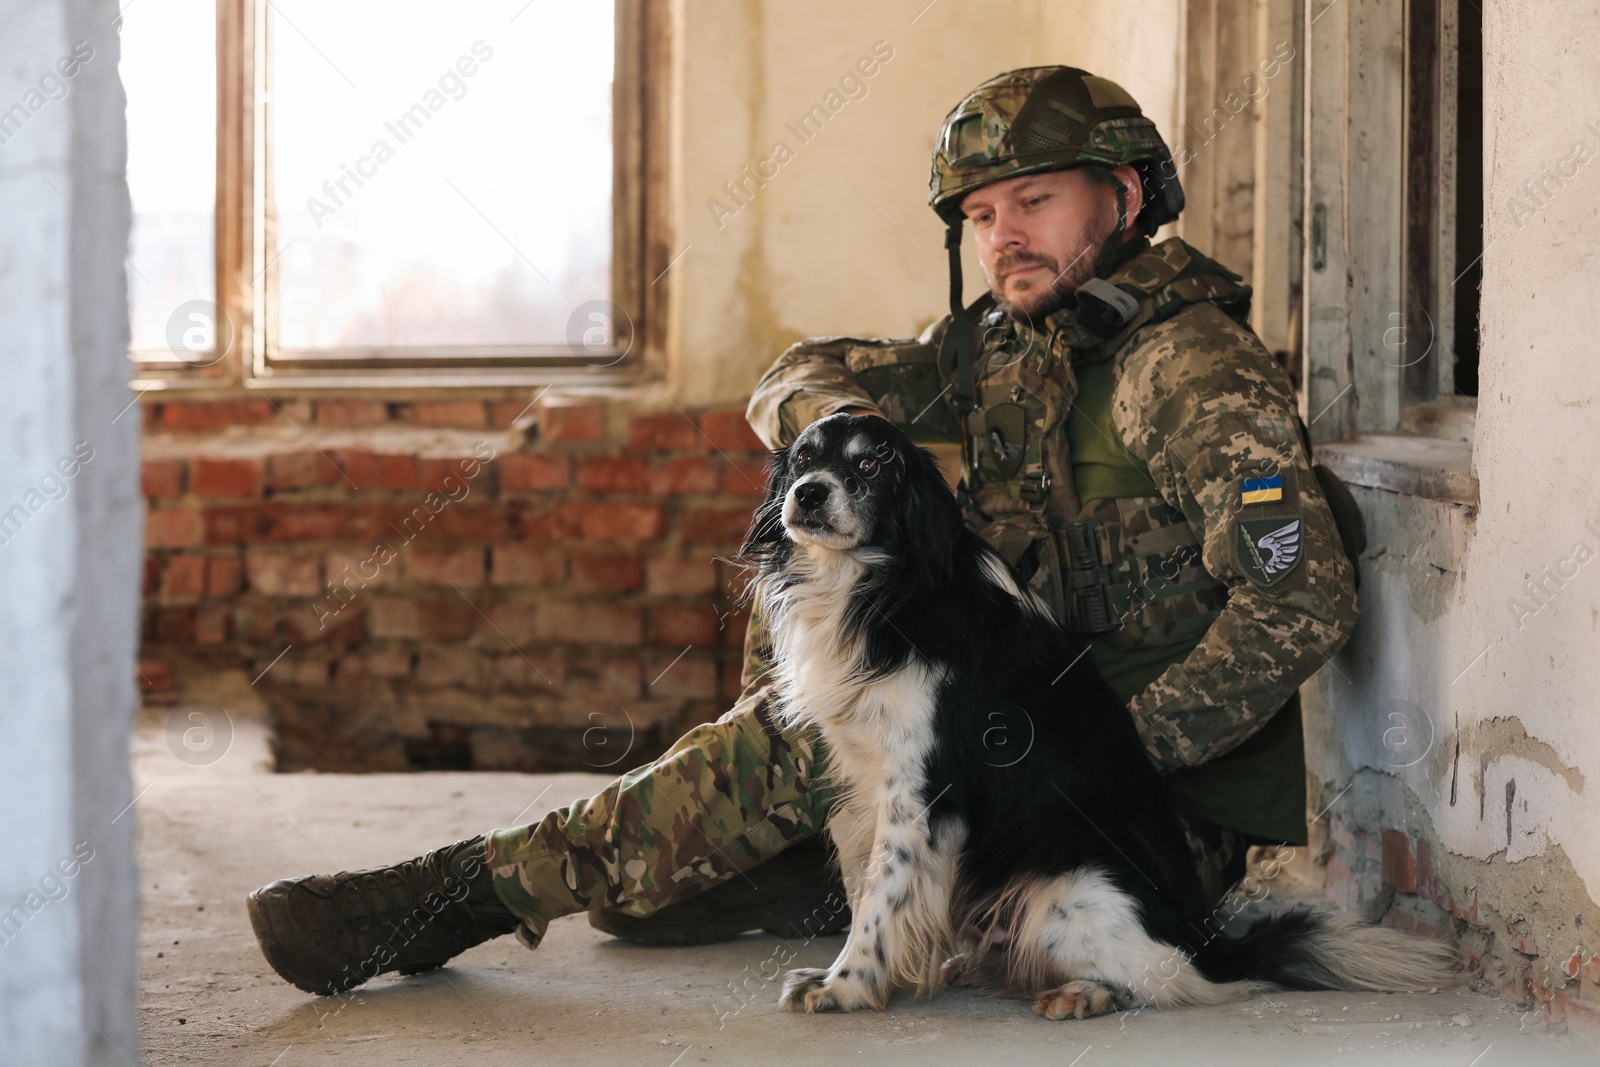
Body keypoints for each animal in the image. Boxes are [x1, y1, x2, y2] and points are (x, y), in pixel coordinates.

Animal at [739, 415, 1465, 1017]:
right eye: (804, 458)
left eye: (869, 465)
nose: (808, 493)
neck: (884, 584)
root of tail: (1209, 939)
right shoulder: (869, 776)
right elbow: (871, 887)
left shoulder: (921, 792)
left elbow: (880, 900)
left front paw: (845, 986)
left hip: (1069, 888)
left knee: (1171, 980)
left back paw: (1084, 994)